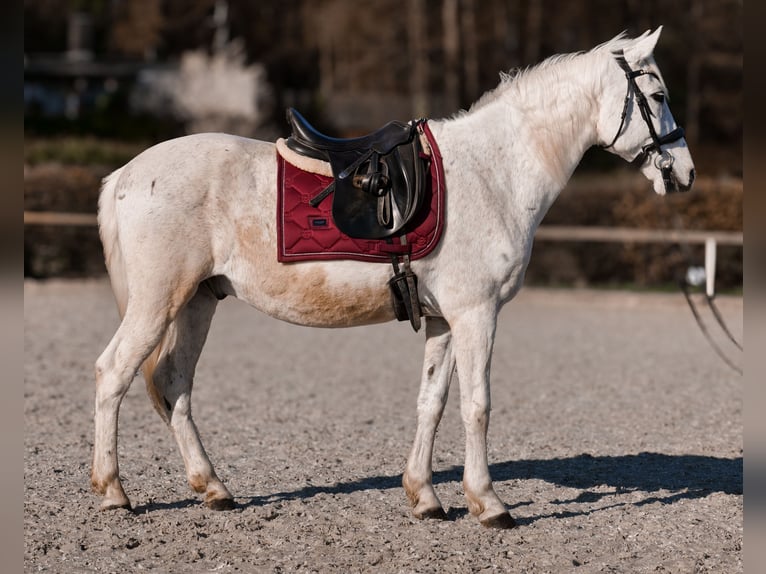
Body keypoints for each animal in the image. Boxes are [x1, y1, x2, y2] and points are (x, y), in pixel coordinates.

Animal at [92, 27, 694, 528]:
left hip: (197, 302)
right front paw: (489, 503)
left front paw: (426, 497)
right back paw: (114, 491)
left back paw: (213, 488)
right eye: (658, 97)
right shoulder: (477, 314)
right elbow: (477, 405)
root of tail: (126, 174)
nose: (685, 173)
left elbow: (432, 402)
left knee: (174, 383)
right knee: (113, 373)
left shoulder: (445, 320)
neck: (494, 170)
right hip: (158, 303)